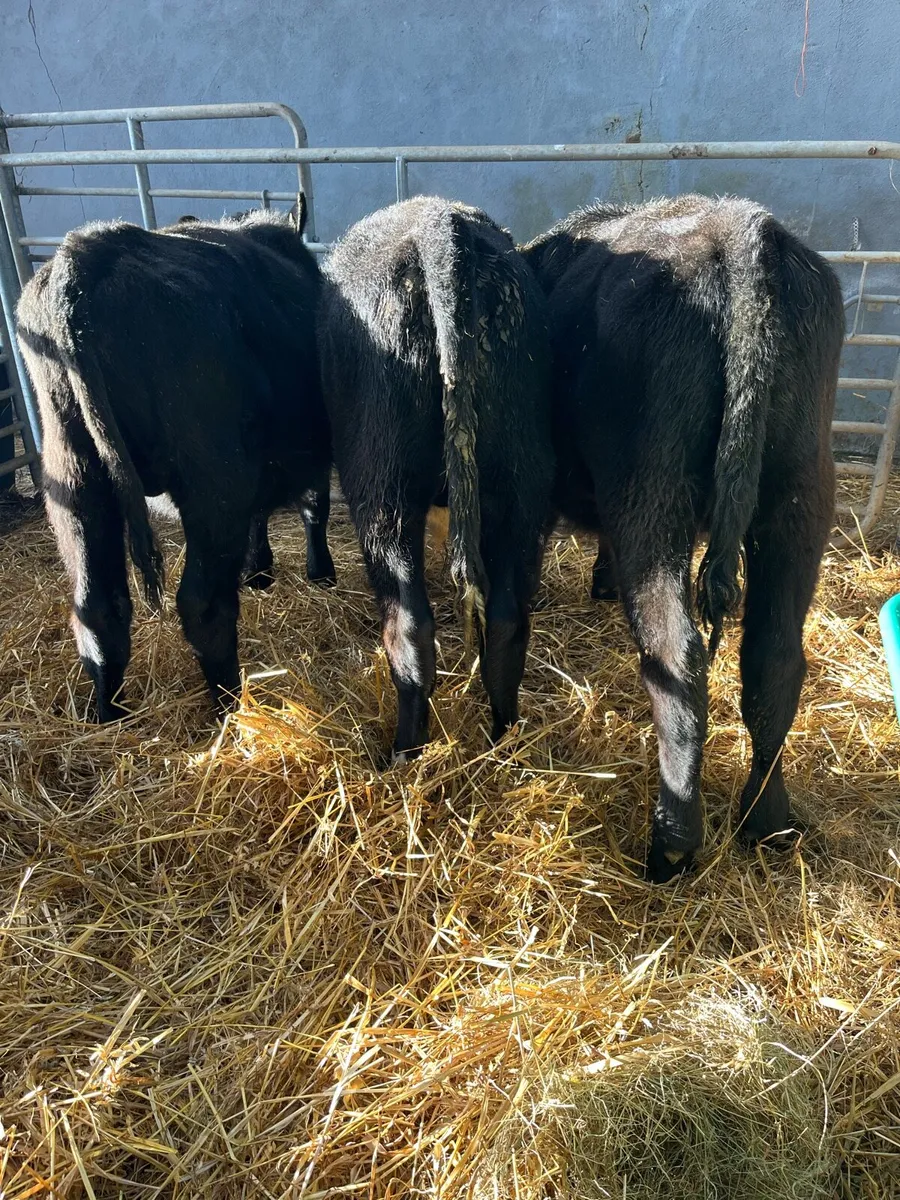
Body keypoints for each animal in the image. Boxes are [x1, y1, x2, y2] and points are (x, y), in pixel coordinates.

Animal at [16, 202, 333, 722]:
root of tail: (86, 254)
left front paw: (259, 571)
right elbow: (313, 507)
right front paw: (317, 572)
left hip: (75, 477)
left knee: (98, 608)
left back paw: (110, 715)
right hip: (213, 481)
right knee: (202, 605)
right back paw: (229, 707)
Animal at [318, 196, 554, 761]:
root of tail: (438, 226)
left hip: (382, 486)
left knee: (408, 625)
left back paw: (405, 751)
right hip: (522, 475)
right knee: (508, 621)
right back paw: (502, 740)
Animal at [521, 194, 844, 881]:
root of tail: (741, 229)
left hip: (652, 491)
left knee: (676, 657)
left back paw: (671, 843)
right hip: (800, 491)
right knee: (775, 659)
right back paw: (766, 822)